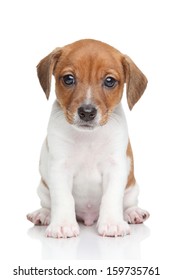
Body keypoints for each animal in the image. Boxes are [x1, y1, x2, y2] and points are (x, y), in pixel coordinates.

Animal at [27, 38, 150, 237]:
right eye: (69, 79)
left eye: (109, 81)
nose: (86, 112)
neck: (88, 138)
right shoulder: (60, 167)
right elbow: (63, 198)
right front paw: (62, 225)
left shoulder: (115, 167)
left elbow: (111, 197)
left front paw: (112, 223)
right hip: (43, 188)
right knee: (47, 204)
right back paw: (43, 214)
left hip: (132, 186)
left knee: (129, 202)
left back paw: (133, 213)